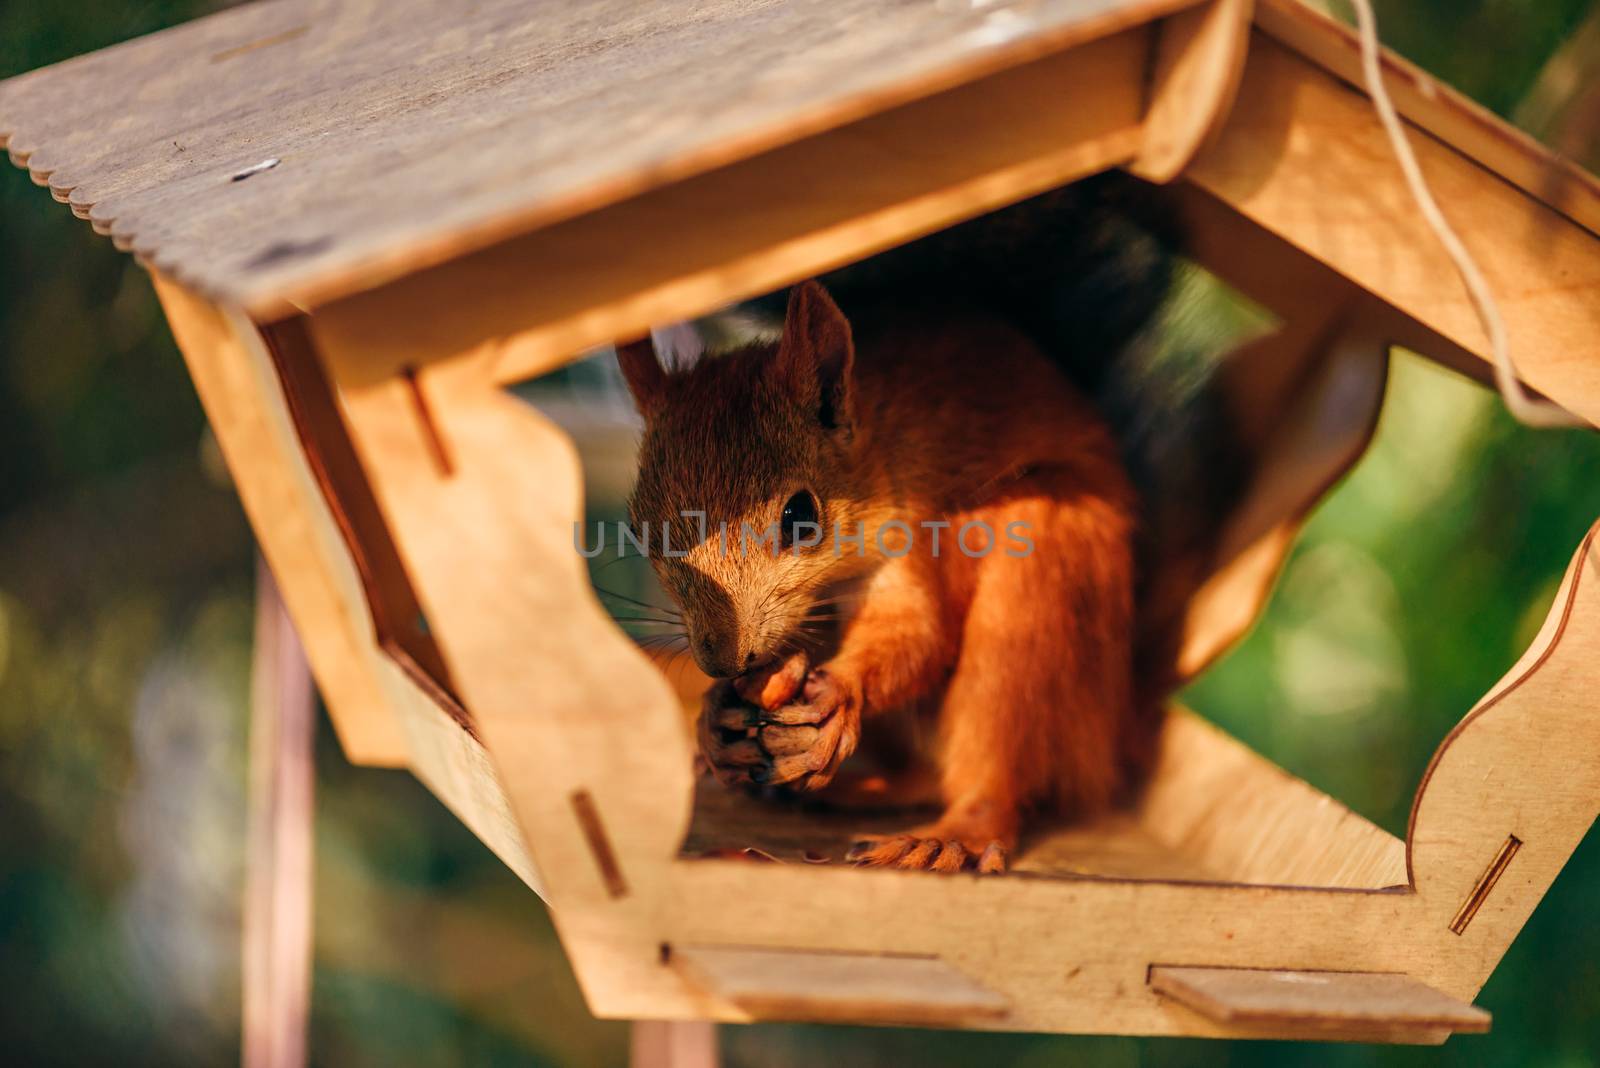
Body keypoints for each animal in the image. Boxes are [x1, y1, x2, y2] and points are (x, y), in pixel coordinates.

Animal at [611, 177, 1235, 876]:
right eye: (639, 528)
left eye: (800, 515)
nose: (718, 659)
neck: (874, 447)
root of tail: (1114, 723)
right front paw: (716, 722)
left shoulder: (909, 535)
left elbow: (918, 633)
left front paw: (841, 689)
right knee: (923, 776)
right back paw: (844, 791)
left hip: (1041, 592)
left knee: (993, 764)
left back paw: (948, 835)